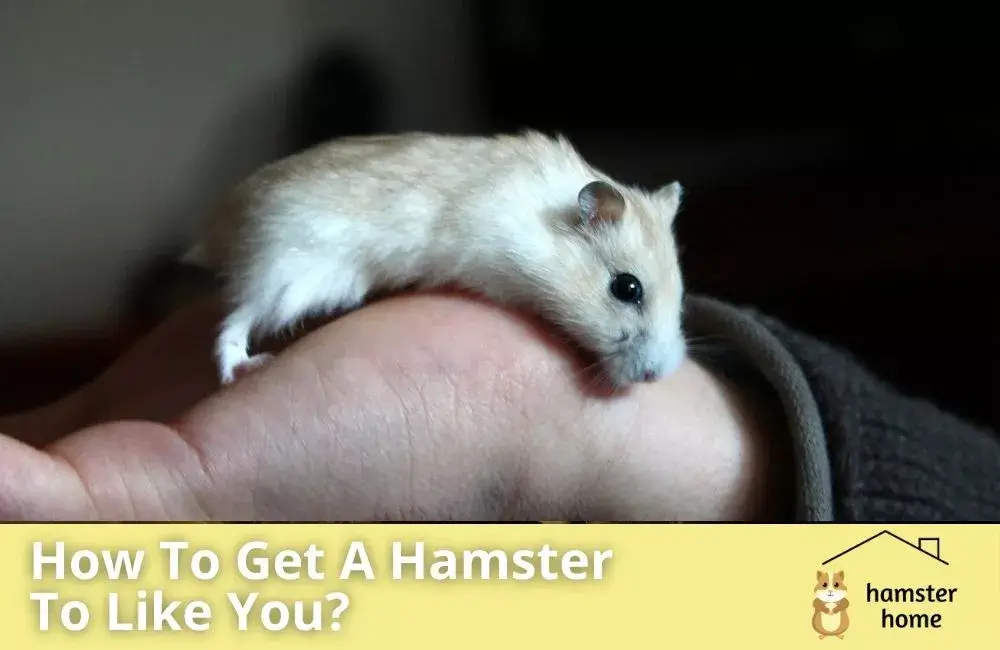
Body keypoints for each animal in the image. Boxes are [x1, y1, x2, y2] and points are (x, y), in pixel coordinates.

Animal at [184, 130, 688, 387]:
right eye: (627, 288)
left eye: (681, 296)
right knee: (236, 320)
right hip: (289, 269)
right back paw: (241, 368)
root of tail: (218, 228)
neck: (541, 221)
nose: (654, 377)